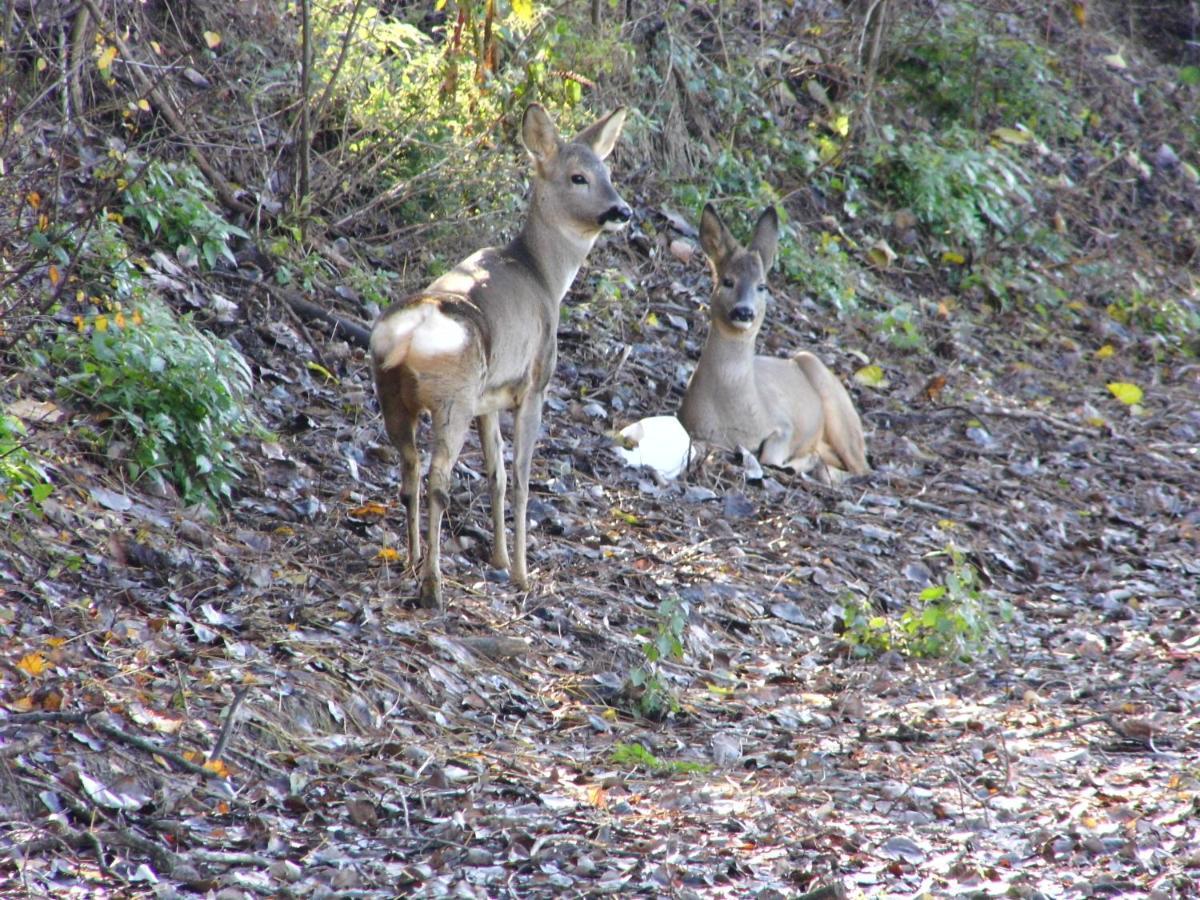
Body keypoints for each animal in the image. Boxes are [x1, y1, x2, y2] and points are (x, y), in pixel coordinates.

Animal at [369, 105, 633, 614]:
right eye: (578, 177)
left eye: (609, 173)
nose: (621, 211)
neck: (545, 276)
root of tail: (410, 332)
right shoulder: (534, 384)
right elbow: (524, 478)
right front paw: (521, 574)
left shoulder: (488, 399)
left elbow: (497, 474)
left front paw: (497, 558)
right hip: (452, 398)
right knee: (437, 479)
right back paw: (432, 585)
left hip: (395, 394)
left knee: (409, 472)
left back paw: (410, 562)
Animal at [681, 206, 868, 480]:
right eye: (728, 281)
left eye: (762, 286)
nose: (744, 311)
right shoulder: (693, 427)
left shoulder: (783, 424)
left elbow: (770, 455)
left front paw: (795, 462)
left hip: (835, 403)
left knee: (861, 468)